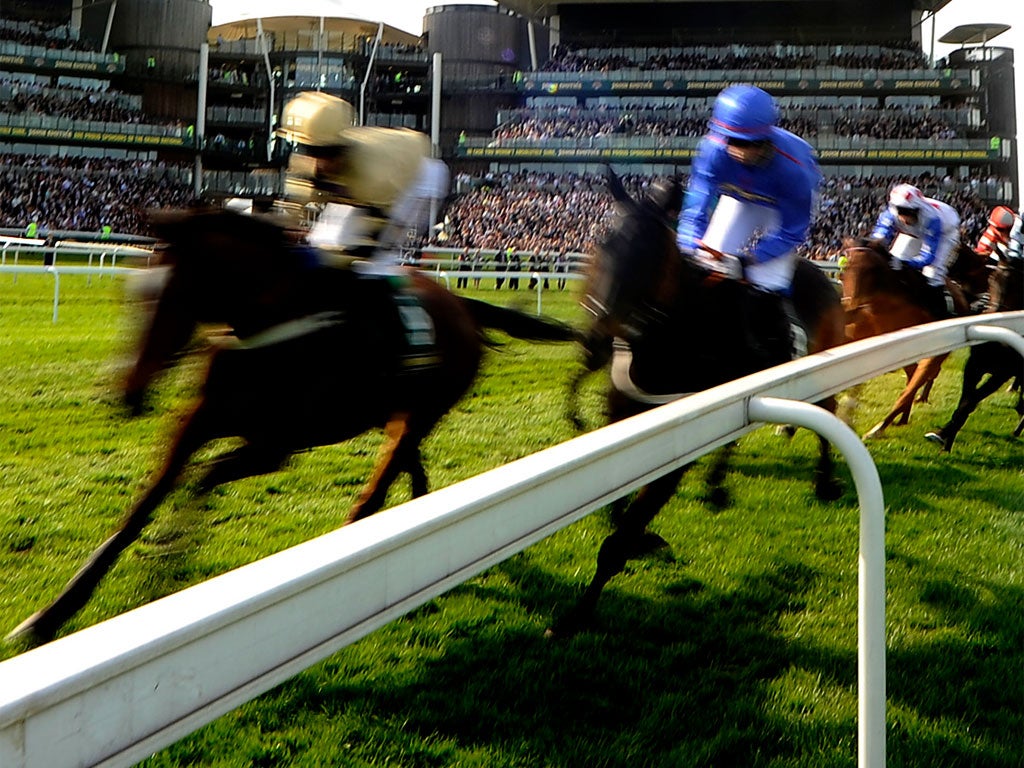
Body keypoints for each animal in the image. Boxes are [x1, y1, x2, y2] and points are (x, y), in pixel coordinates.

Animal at [9, 207, 577, 647]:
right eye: (131, 296)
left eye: (173, 298)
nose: (125, 393)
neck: (272, 323)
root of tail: (460, 305)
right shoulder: (197, 422)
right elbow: (144, 505)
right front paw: (50, 615)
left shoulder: (276, 445)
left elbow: (200, 481)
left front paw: (165, 563)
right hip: (395, 409)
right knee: (409, 466)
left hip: (425, 408)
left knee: (380, 484)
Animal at [557, 174, 843, 638]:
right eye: (603, 245)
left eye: (651, 256)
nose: (594, 340)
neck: (669, 340)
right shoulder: (622, 421)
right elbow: (618, 511)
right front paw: (646, 540)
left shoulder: (678, 443)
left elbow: (621, 536)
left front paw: (577, 614)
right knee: (734, 440)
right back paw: (716, 485)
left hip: (819, 369)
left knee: (829, 414)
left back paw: (824, 482)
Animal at [835, 237, 987, 442]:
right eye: (843, 274)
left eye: (870, 272)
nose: (849, 307)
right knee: (912, 377)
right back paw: (901, 418)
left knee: (912, 386)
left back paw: (881, 427)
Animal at [925, 252, 1019, 450]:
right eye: (992, 279)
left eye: (1018, 282)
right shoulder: (974, 365)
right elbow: (965, 400)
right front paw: (943, 434)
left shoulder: (1002, 374)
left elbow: (971, 402)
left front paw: (947, 436)